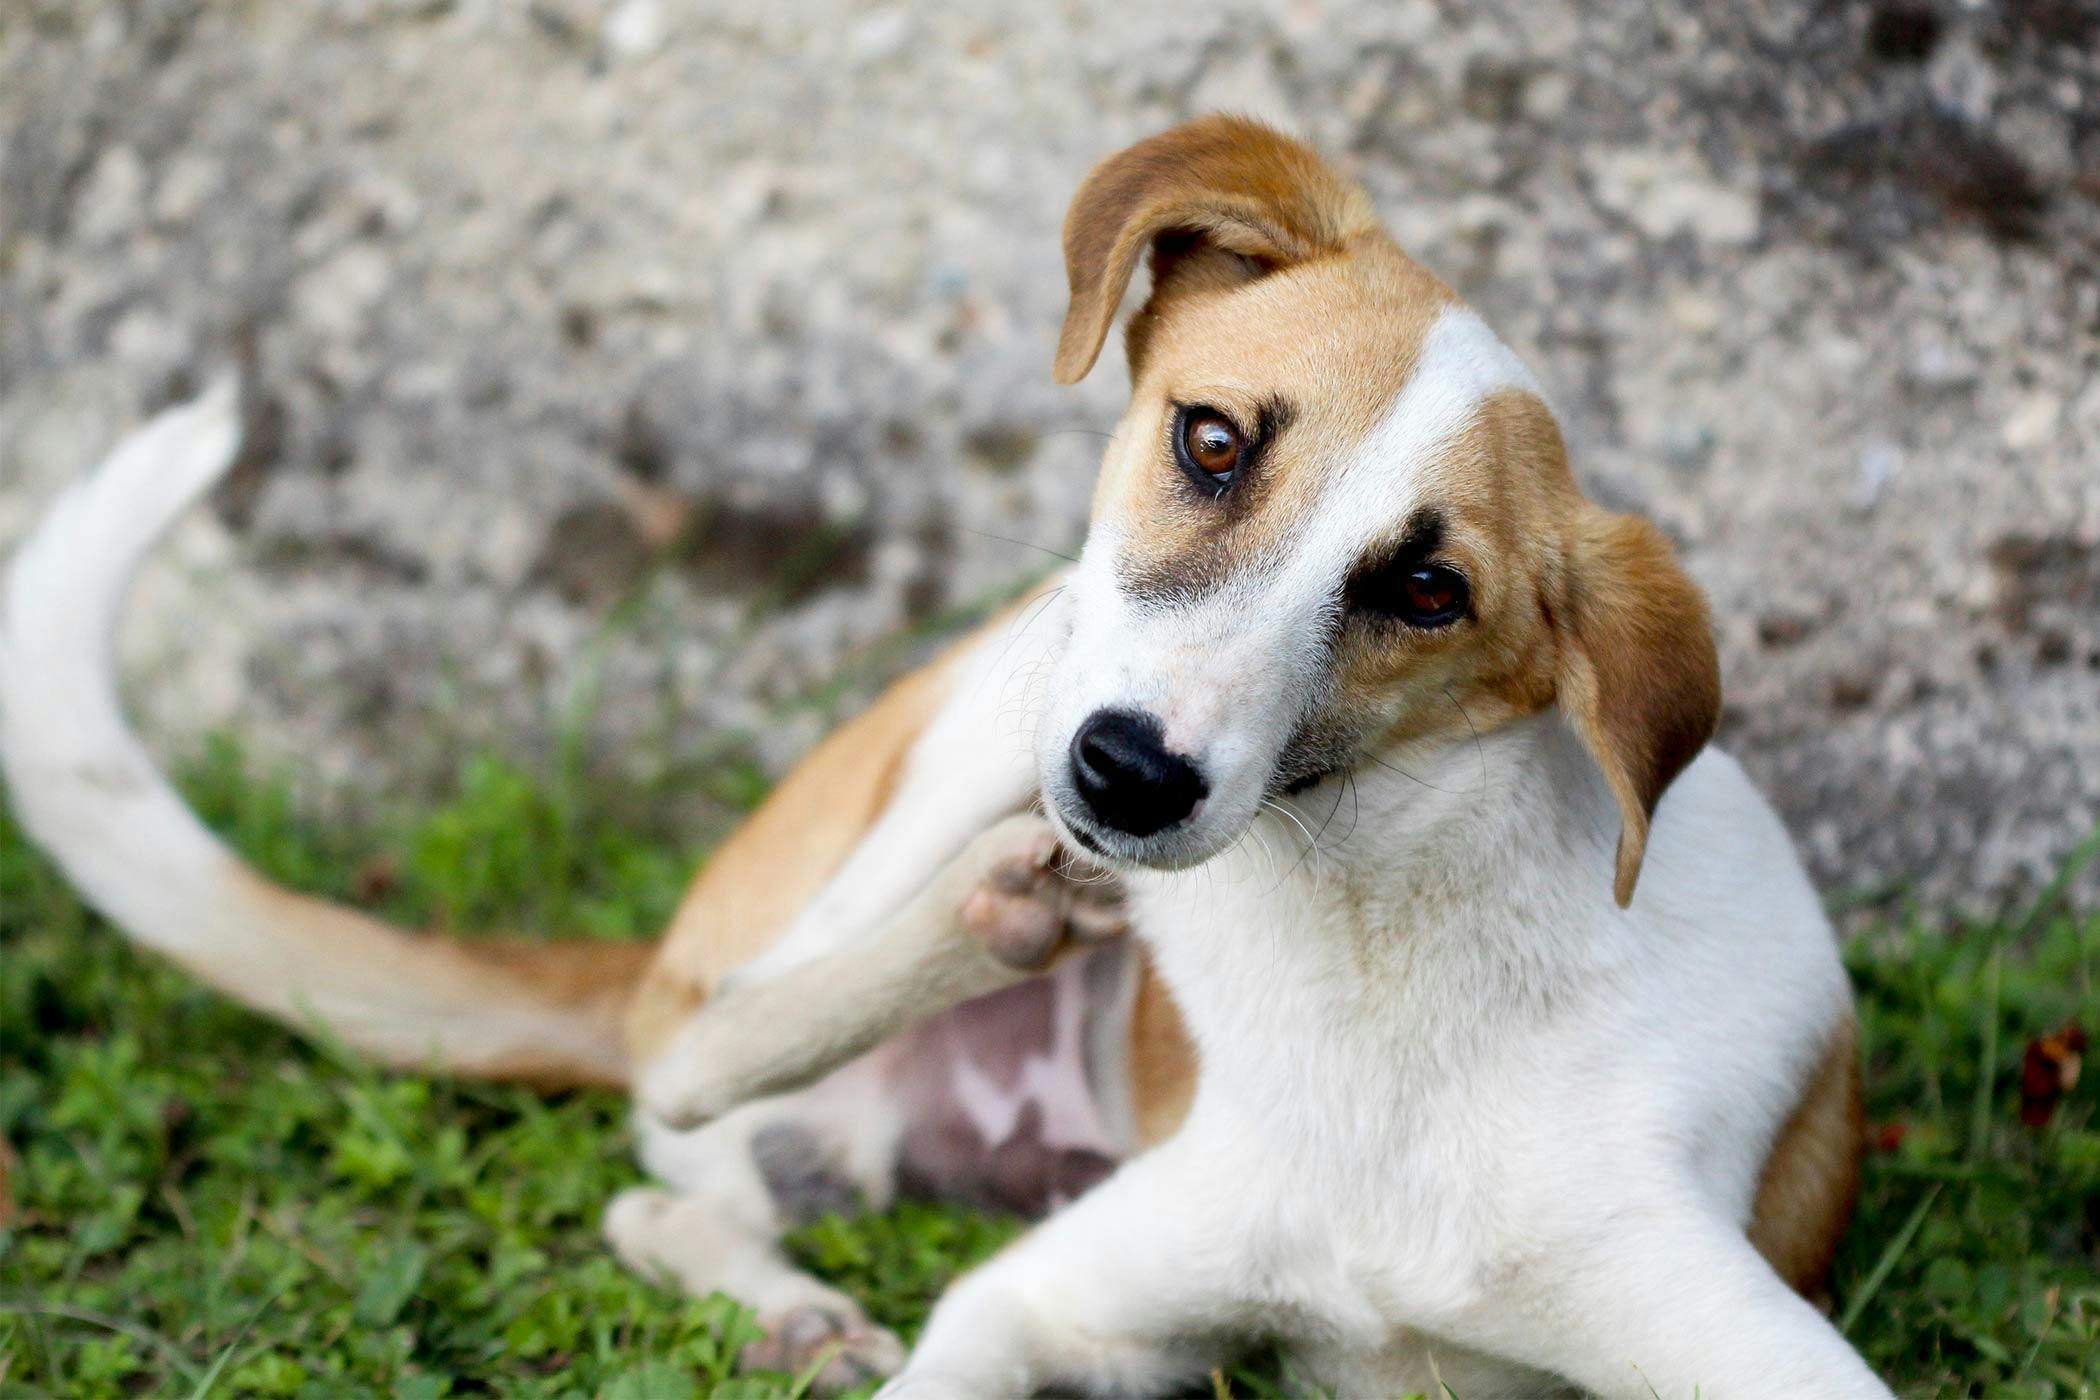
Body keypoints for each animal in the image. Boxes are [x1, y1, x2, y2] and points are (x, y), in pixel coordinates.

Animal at [0, 114, 1898, 1393]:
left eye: (1428, 590)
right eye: (1213, 440)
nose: (1132, 778)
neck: (1382, 953)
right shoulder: (1045, 1298)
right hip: (984, 708)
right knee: (687, 1074)